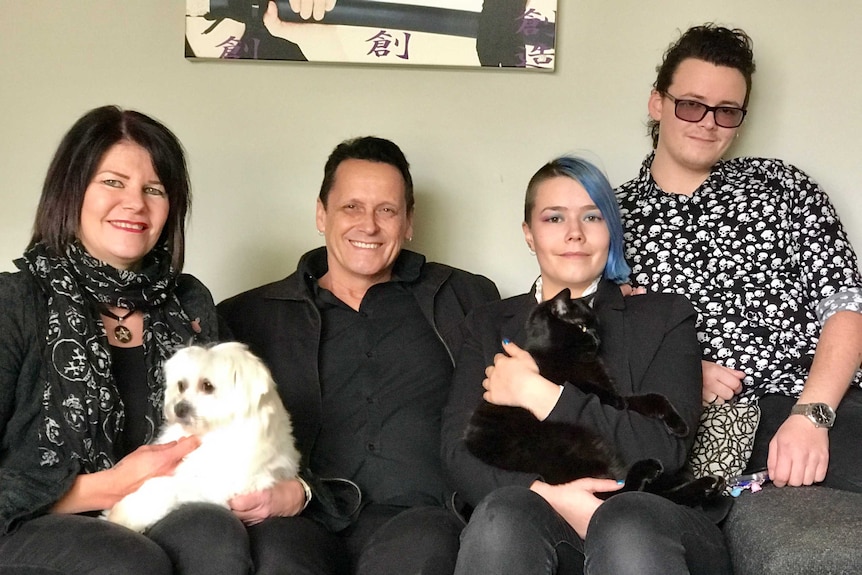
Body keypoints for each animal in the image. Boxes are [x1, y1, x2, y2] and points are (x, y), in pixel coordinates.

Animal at [106, 342, 302, 536]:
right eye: (181, 385)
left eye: (207, 386)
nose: (178, 408)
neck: (213, 432)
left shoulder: (222, 483)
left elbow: (165, 486)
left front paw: (124, 514)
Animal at [466, 290, 724, 506]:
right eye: (581, 327)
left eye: (597, 329)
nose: (597, 340)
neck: (573, 357)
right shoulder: (558, 377)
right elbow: (583, 386)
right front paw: (610, 399)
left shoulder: (624, 394)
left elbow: (654, 397)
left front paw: (678, 425)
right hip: (577, 442)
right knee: (617, 494)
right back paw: (655, 470)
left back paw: (706, 485)